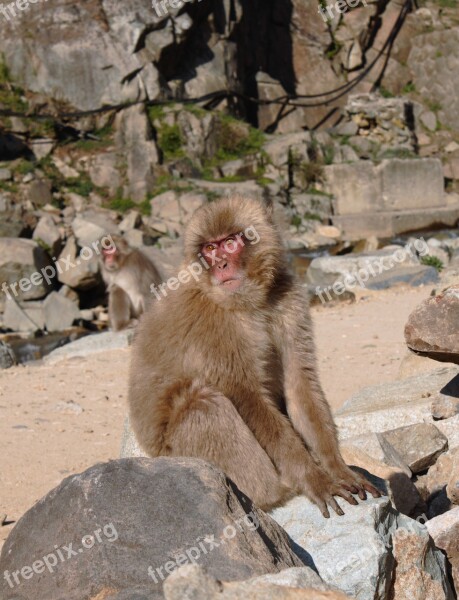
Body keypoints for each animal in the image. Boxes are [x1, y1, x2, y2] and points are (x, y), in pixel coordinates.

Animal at [127, 196, 380, 516]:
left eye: (230, 243)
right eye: (210, 249)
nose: (220, 265)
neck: (246, 302)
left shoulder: (288, 295)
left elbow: (299, 381)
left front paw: (337, 468)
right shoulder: (214, 324)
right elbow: (247, 396)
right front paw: (313, 478)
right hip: (179, 455)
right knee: (204, 405)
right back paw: (277, 491)